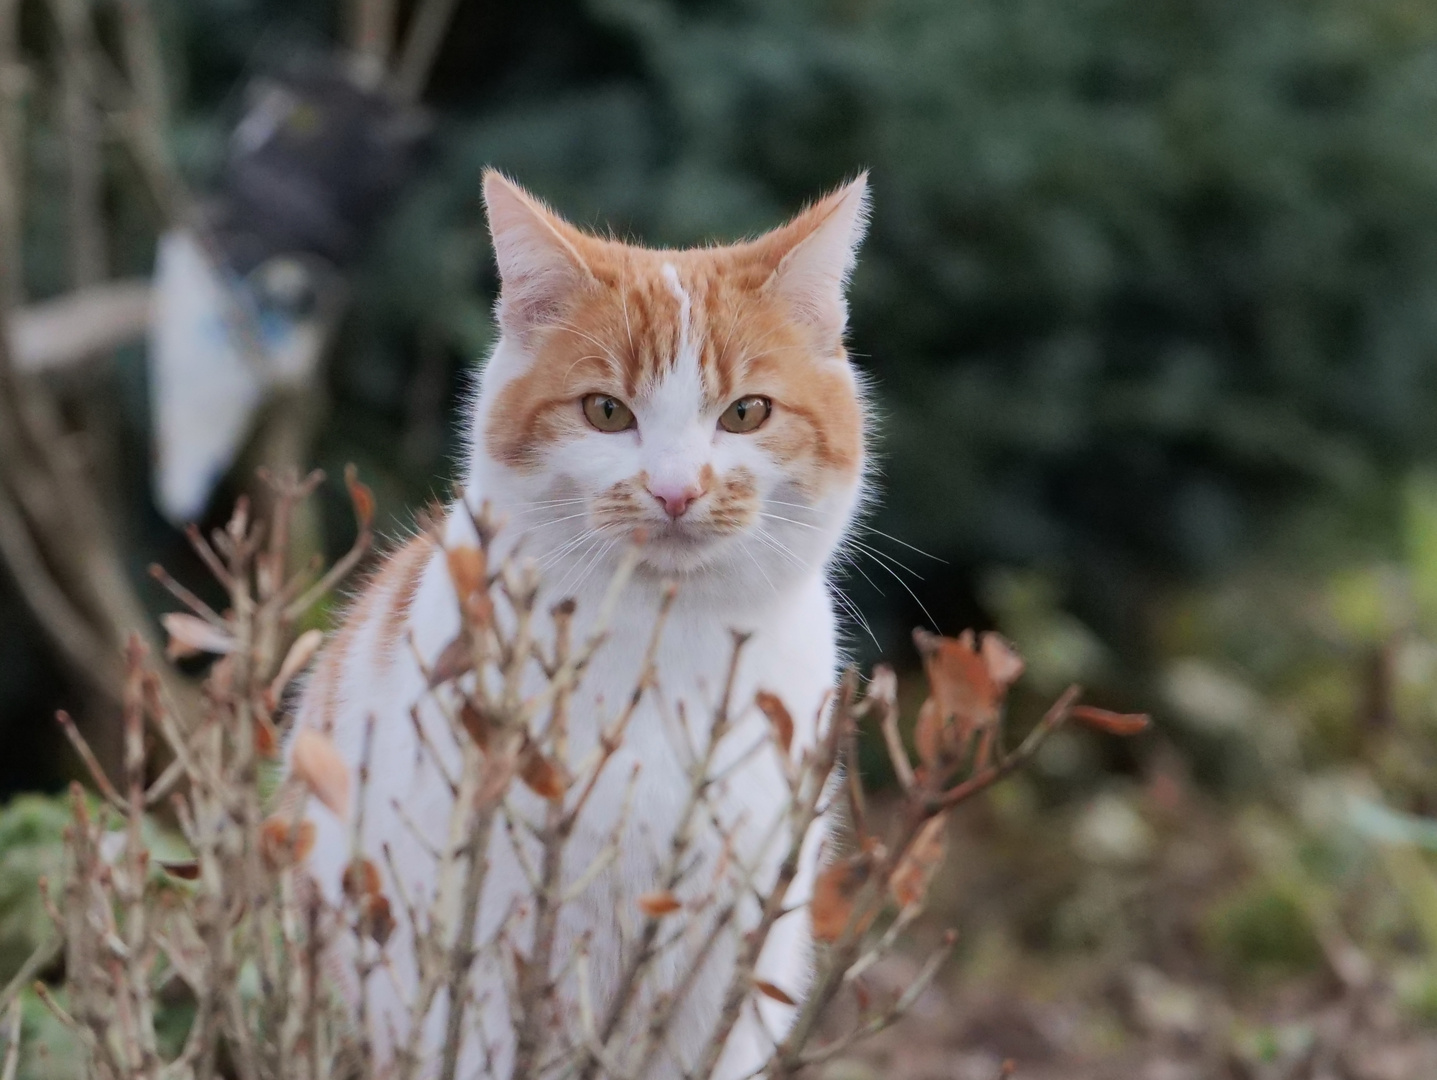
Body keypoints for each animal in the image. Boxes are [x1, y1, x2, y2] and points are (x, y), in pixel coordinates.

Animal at [294, 173, 862, 1074]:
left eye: (745, 415)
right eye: (605, 412)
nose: (675, 489)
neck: (668, 654)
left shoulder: (735, 967)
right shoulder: (474, 956)